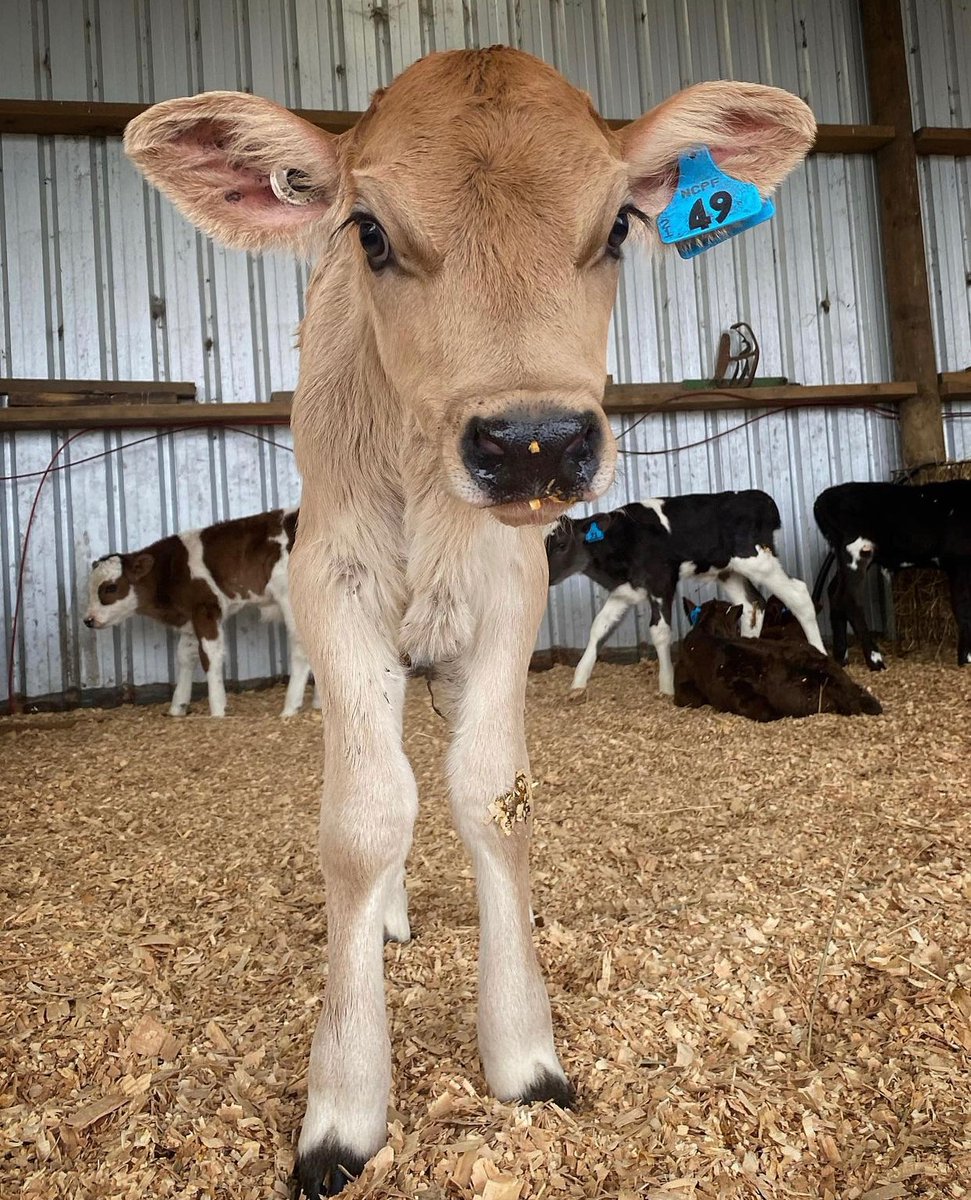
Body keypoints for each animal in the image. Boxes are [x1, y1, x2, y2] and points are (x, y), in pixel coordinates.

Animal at [83, 508, 313, 718]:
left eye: (110, 588)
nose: (88, 620)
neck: (171, 570)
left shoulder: (206, 608)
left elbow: (209, 656)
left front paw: (218, 709)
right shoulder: (190, 618)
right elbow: (185, 657)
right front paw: (178, 707)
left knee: (302, 646)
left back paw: (290, 708)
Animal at [545, 493, 823, 700]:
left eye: (561, 545)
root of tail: (759, 497)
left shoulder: (661, 583)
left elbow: (660, 632)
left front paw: (667, 686)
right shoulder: (624, 591)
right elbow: (599, 628)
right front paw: (578, 683)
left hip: (758, 560)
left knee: (798, 595)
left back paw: (821, 654)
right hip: (729, 571)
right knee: (752, 603)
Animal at [813, 480, 971, 669]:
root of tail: (823, 499)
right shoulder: (959, 563)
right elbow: (963, 608)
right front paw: (966, 658)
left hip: (844, 556)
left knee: (834, 592)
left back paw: (841, 657)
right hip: (856, 551)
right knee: (849, 598)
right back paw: (875, 659)